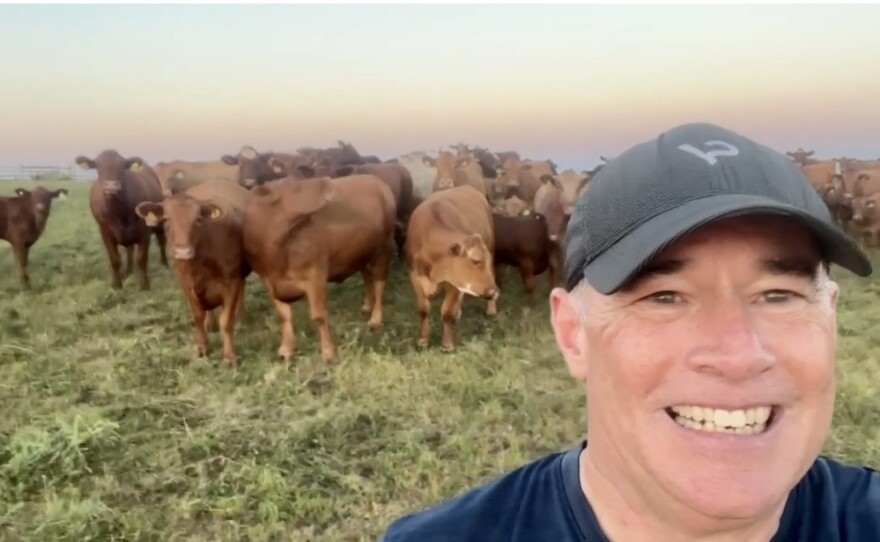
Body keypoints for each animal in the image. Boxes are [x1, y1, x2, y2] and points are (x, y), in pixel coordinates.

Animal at [76, 151, 168, 292]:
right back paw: (128, 271)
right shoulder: (105, 232)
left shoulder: (144, 232)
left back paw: (164, 264)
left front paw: (144, 286)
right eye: (98, 167)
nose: (111, 186)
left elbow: (141, 259)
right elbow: (115, 259)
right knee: (129, 249)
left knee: (161, 242)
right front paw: (116, 285)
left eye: (122, 167)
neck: (118, 213)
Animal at [133, 182, 251, 366]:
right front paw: (202, 347)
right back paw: (211, 323)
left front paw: (230, 355)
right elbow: (197, 316)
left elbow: (226, 320)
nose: (183, 252)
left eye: (198, 220)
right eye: (166, 219)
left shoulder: (231, 281)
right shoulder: (186, 284)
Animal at [241, 172, 396, 364]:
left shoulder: (315, 275)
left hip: (385, 246)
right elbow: (284, 315)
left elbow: (319, 316)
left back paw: (375, 319)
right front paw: (286, 349)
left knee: (380, 283)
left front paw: (328, 352)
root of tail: (375, 179)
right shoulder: (269, 281)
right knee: (367, 275)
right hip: (362, 251)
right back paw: (367, 306)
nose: (327, 180)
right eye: (297, 186)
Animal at [404, 185, 498, 354]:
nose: (493, 292)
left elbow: (446, 312)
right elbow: (423, 309)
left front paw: (447, 344)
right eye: (475, 260)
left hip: (492, 247)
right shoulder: (415, 276)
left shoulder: (453, 283)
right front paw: (423, 340)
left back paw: (490, 309)